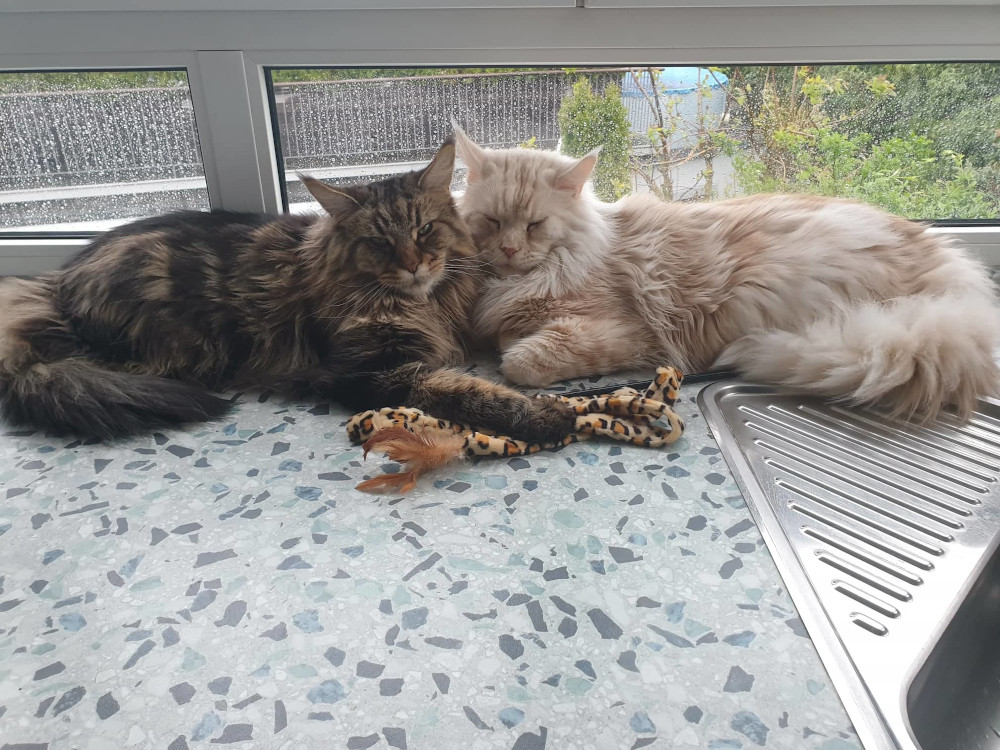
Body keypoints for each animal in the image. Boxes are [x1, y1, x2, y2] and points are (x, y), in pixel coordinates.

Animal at [0, 139, 576, 443]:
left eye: (424, 230)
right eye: (378, 242)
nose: (414, 266)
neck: (423, 303)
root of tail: (57, 285)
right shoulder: (374, 372)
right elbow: (468, 391)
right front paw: (548, 414)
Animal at [454, 127, 1000, 421]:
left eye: (535, 225)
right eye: (493, 222)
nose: (508, 248)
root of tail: (945, 261)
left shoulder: (625, 331)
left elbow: (523, 359)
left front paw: (513, 345)